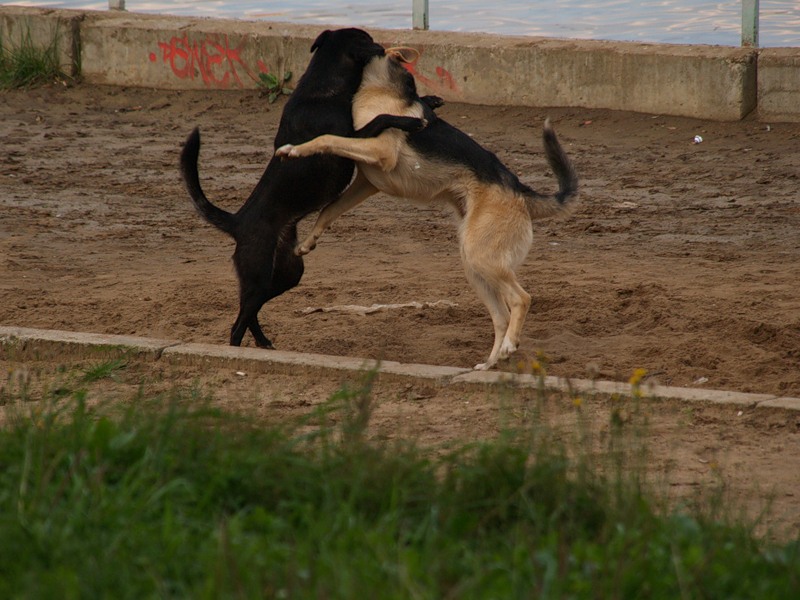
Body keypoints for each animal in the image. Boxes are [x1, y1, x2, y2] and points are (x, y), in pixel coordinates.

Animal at [180, 28, 424, 346]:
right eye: (369, 40)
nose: (384, 47)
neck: (324, 87)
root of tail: (237, 222)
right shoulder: (350, 137)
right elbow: (382, 117)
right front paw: (410, 120)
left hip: (286, 274)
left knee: (248, 311)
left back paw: (263, 343)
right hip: (260, 275)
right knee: (237, 324)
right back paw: (240, 349)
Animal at [278, 52, 580, 370]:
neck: (381, 88)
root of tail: (519, 190)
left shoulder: (379, 153)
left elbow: (327, 139)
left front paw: (293, 149)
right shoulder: (367, 182)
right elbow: (328, 209)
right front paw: (308, 242)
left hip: (482, 258)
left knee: (521, 299)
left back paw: (509, 345)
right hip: (475, 267)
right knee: (501, 316)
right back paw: (490, 363)